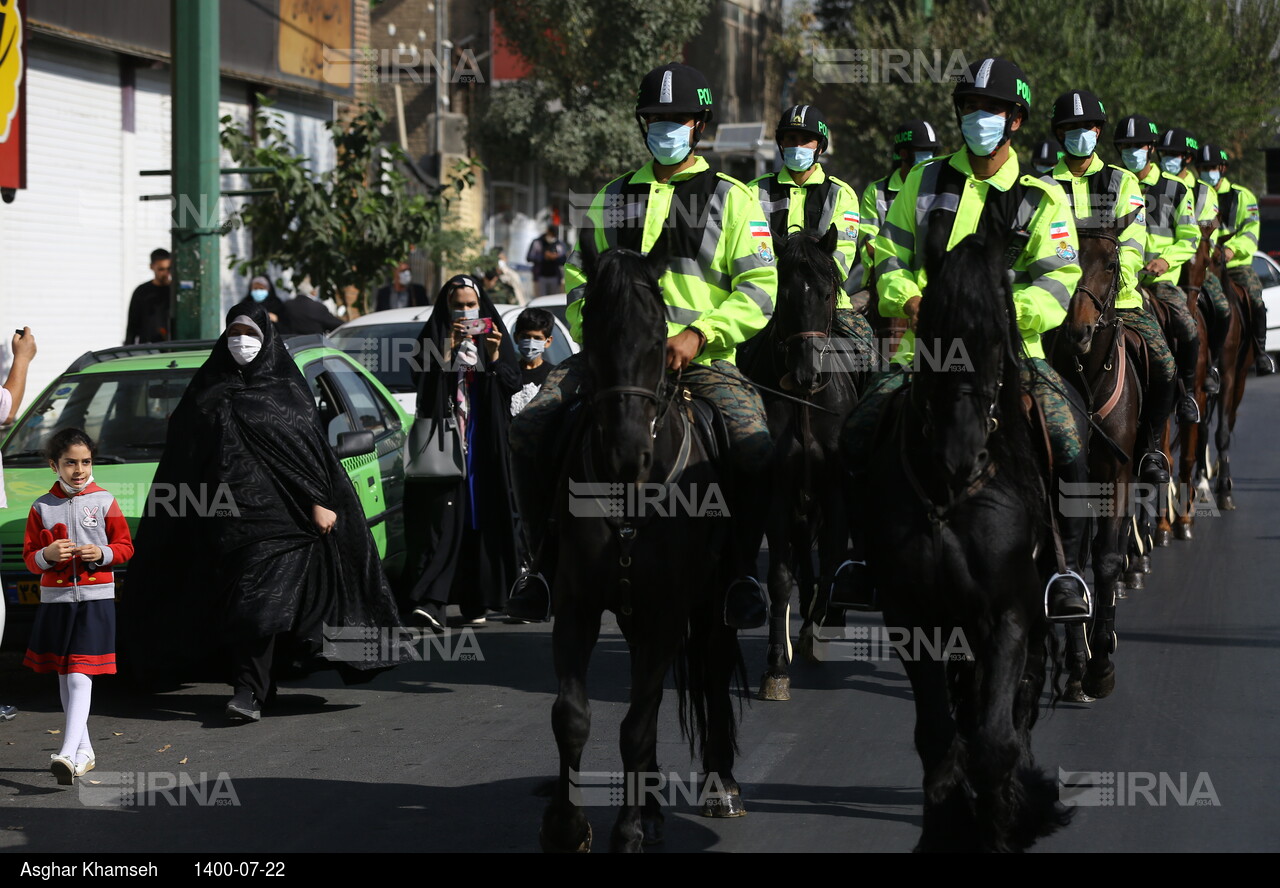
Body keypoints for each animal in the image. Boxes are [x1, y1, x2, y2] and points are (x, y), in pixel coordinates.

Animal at [537, 245, 747, 854]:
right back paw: (652, 808)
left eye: (659, 340)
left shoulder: (669, 611)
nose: (627, 453)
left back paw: (718, 787)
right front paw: (566, 826)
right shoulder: (579, 605)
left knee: (709, 672)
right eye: (595, 330)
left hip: (712, 605)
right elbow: (573, 716)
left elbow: (637, 722)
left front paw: (626, 830)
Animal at [737, 227, 865, 701]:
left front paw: (819, 632)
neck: (806, 405)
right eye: (786, 293)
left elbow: (830, 559)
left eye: (827, 294)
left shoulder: (835, 490)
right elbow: (779, 575)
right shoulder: (779, 490)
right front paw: (776, 666)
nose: (808, 374)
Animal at [860, 231, 1070, 854]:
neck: (948, 494)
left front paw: (1002, 828)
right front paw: (944, 827)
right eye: (931, 330)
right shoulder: (913, 616)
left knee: (1013, 711)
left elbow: (995, 740)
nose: (962, 455)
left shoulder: (1010, 612)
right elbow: (937, 736)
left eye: (997, 340)